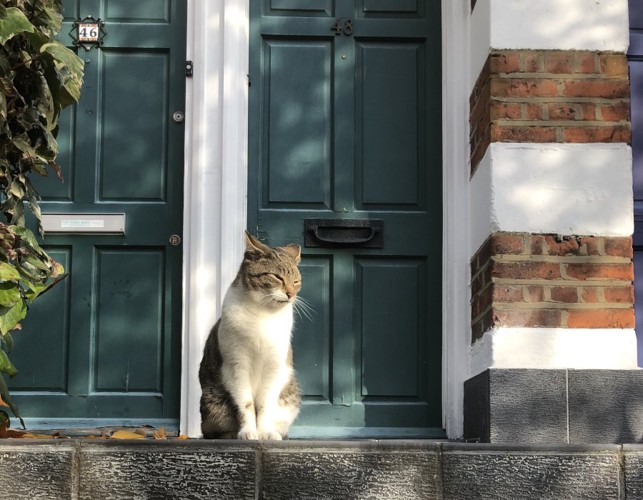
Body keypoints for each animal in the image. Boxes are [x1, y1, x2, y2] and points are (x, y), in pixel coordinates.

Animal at [200, 232, 304, 440]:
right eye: (277, 277)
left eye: (296, 282)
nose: (290, 294)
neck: (264, 314)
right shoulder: (236, 364)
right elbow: (246, 404)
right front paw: (248, 432)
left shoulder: (275, 366)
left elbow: (265, 405)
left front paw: (265, 433)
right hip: (211, 401)